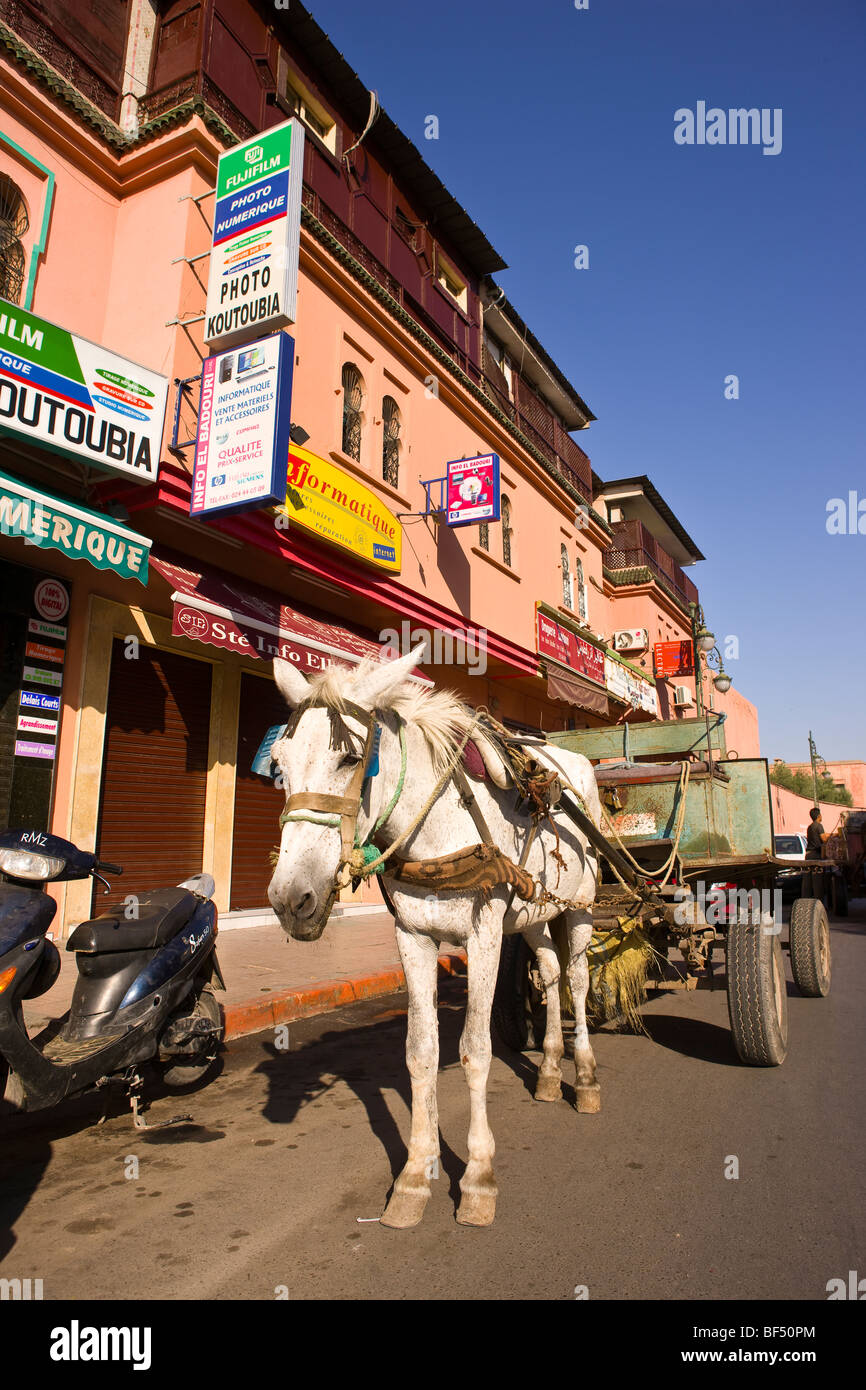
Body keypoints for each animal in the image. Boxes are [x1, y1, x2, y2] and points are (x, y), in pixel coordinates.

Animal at [265, 644, 603, 1223]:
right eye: (279, 764)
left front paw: (478, 1178)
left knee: (578, 980)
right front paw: (414, 1178)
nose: (291, 900)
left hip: (578, 910)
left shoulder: (485, 936)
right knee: (551, 971)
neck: (436, 827)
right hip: (534, 915)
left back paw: (582, 1077)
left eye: (350, 759)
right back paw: (549, 1071)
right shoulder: (413, 936)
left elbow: (475, 1050)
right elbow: (420, 1051)